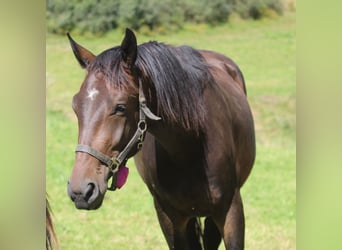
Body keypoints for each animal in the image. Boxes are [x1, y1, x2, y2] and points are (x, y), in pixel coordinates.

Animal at [67, 28, 255, 249]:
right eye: (75, 106)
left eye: (120, 107)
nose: (81, 191)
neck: (191, 148)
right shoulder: (168, 217)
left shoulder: (231, 210)